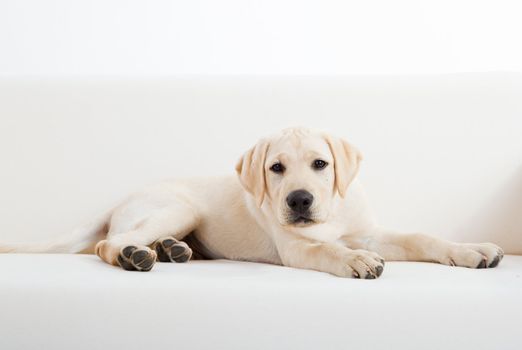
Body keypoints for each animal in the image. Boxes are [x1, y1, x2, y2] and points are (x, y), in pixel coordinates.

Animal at [1, 127, 504, 278]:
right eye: (275, 168)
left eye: (321, 164)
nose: (299, 200)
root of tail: (121, 198)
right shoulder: (297, 248)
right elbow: (327, 250)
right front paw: (354, 259)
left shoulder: (371, 229)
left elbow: (422, 236)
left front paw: (471, 250)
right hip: (179, 207)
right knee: (109, 244)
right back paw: (136, 255)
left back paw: (173, 250)